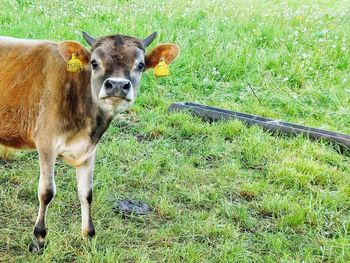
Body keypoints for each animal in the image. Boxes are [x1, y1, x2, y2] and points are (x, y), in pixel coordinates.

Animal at [0, 32, 180, 253]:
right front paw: (40, 237)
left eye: (140, 65)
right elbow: (47, 191)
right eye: (94, 63)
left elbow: (86, 193)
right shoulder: (46, 143)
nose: (117, 85)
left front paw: (89, 235)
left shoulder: (90, 150)